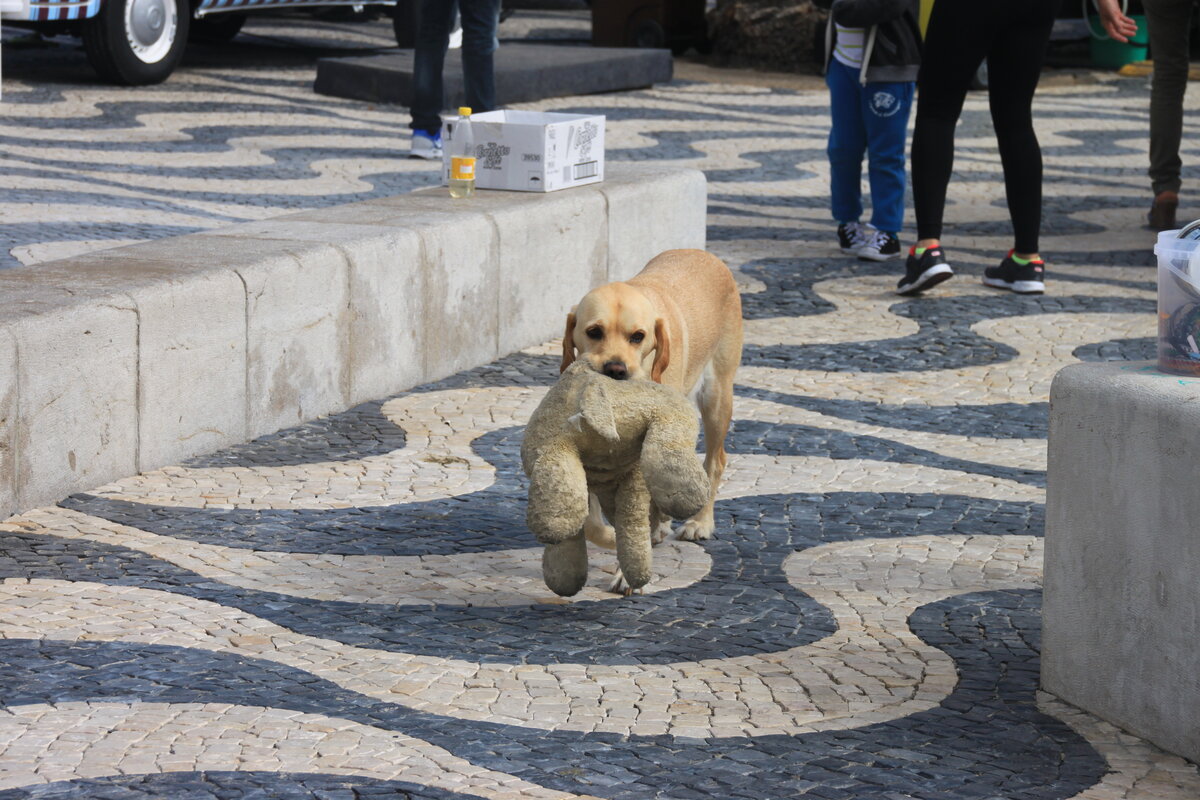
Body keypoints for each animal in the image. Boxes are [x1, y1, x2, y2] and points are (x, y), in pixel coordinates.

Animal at [559, 247, 739, 585]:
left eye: (638, 336)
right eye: (594, 332)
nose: (616, 369)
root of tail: (704, 253)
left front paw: (627, 571)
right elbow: (593, 521)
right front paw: (609, 536)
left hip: (716, 398)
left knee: (715, 461)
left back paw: (700, 522)